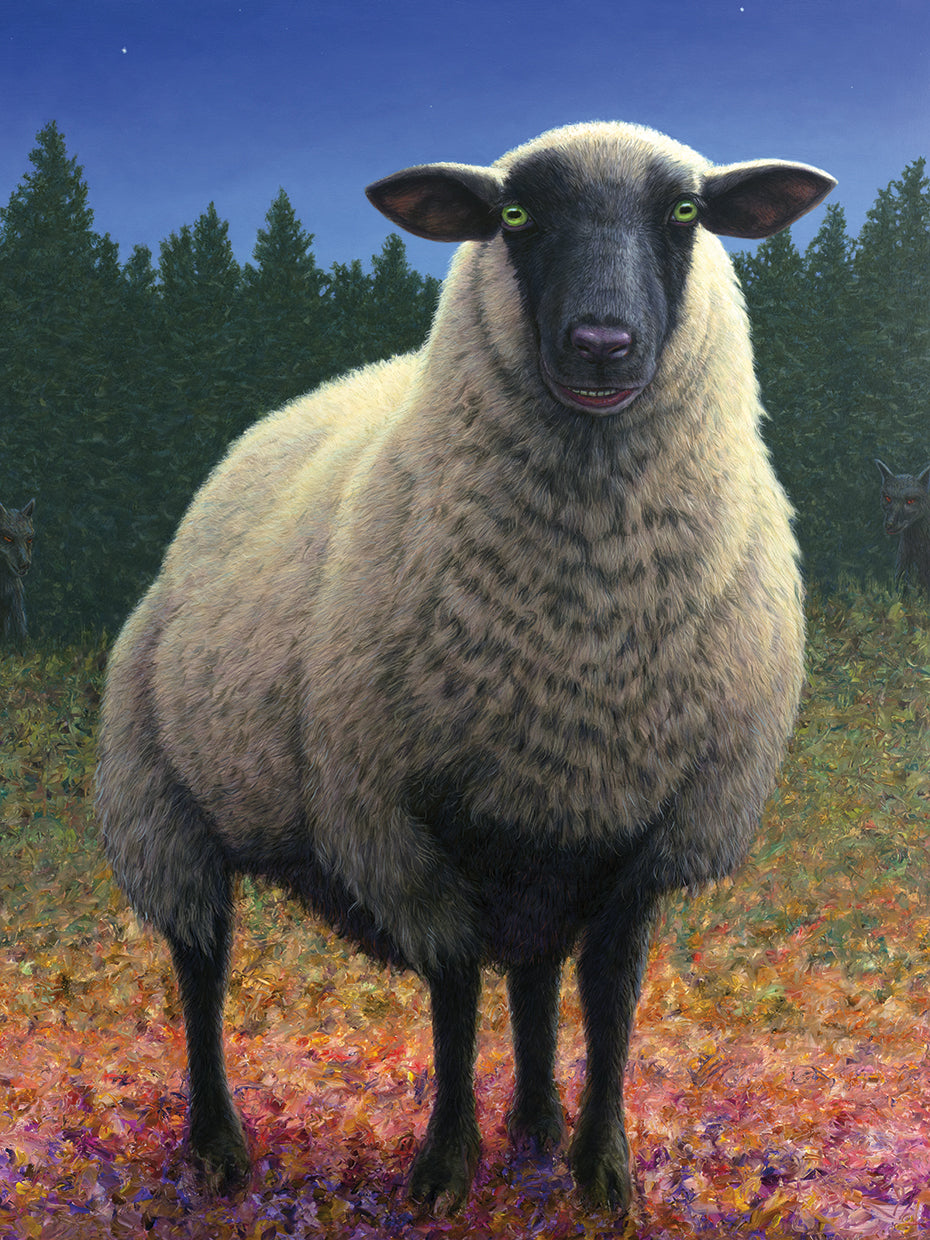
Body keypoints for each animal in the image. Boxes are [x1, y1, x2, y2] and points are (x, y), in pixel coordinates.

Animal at [96, 120, 834, 1214]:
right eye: (515, 215)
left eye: (686, 213)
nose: (602, 344)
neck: (586, 620)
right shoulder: (399, 822)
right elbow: (451, 1002)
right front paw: (445, 1169)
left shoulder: (649, 829)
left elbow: (608, 1002)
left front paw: (601, 1174)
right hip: (162, 807)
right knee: (201, 969)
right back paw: (218, 1150)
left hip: (537, 835)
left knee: (532, 976)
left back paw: (535, 1129)